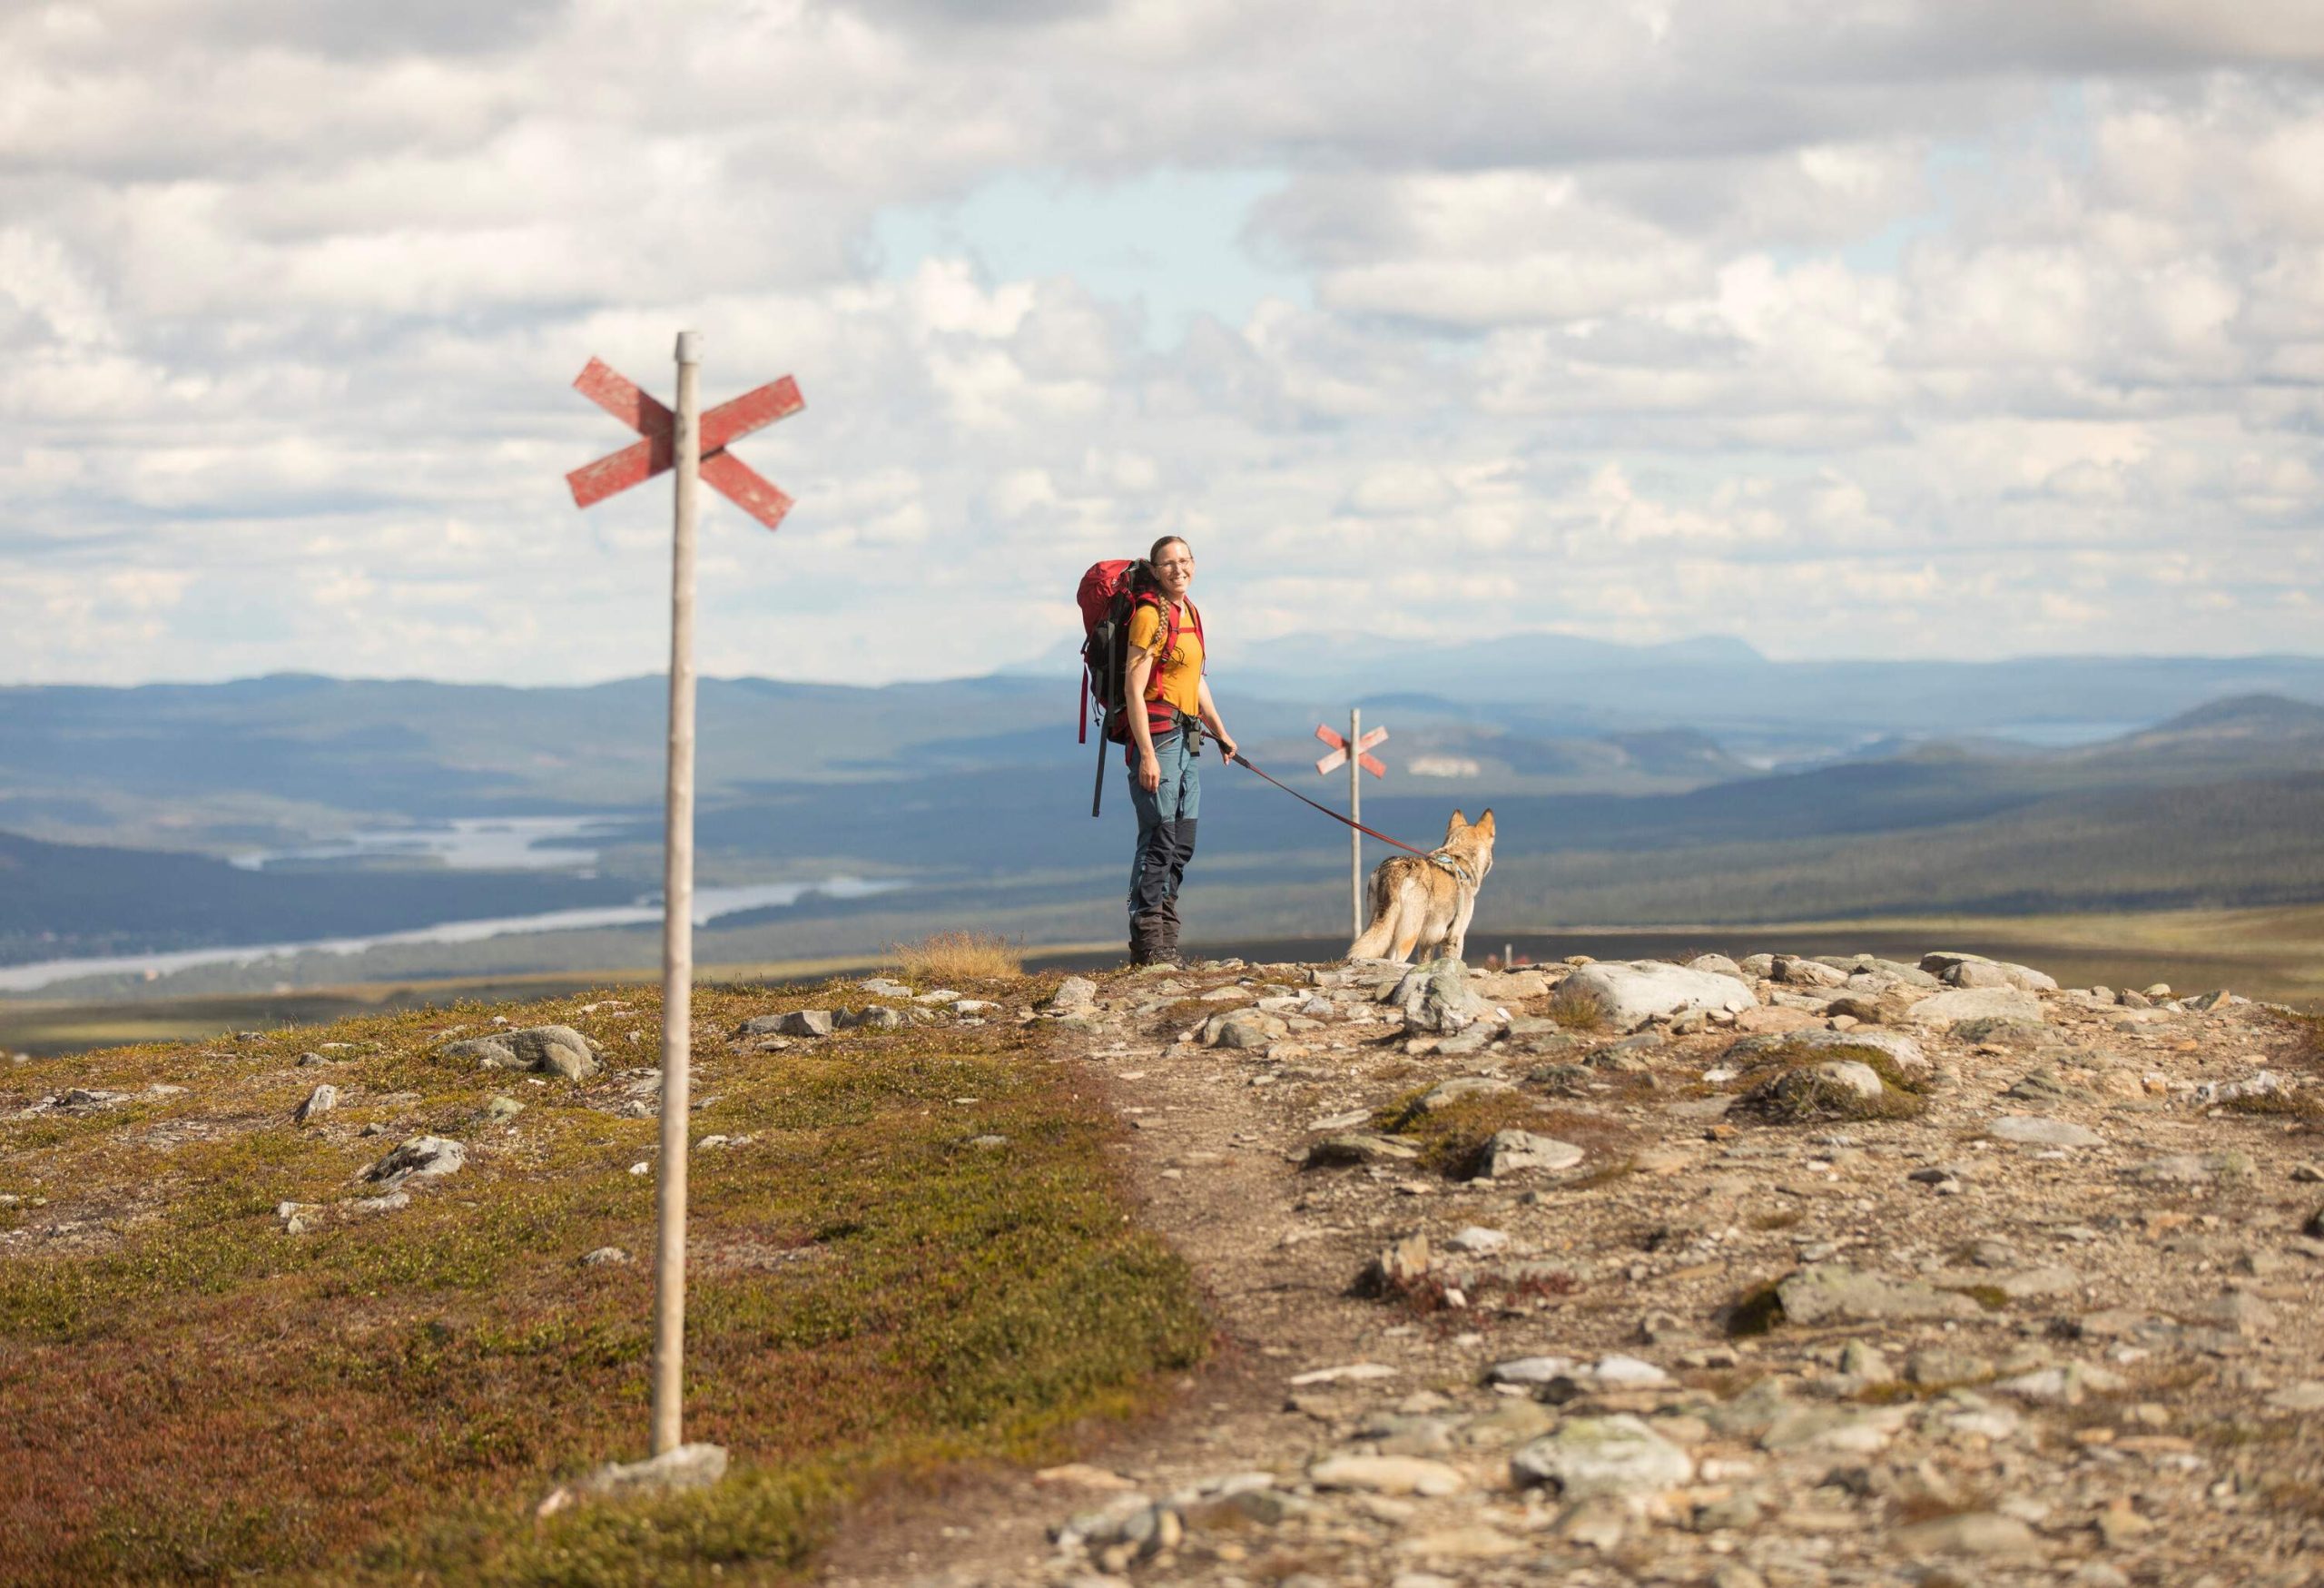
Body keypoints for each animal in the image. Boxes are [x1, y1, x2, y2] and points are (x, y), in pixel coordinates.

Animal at [1347, 814, 1505, 962]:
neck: (1460, 860)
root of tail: (1395, 869)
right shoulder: (1455, 937)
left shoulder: (1427, 943)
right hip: (1408, 938)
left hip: (1380, 926)